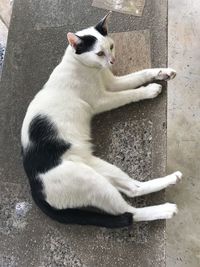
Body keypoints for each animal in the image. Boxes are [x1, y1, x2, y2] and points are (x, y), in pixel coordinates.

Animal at [21, 12, 182, 229]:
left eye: (111, 46)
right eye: (99, 53)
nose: (112, 61)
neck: (88, 68)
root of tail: (33, 186)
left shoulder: (113, 83)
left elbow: (139, 75)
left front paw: (162, 72)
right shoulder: (102, 99)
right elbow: (129, 94)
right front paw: (149, 90)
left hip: (101, 170)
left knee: (134, 188)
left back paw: (170, 180)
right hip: (90, 181)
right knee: (129, 212)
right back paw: (165, 209)